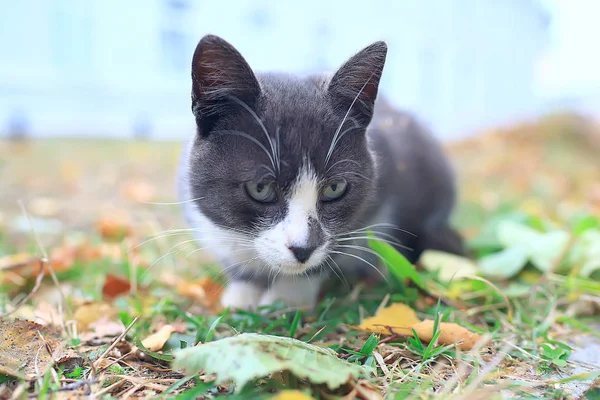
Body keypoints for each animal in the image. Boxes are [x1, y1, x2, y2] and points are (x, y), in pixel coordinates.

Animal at [178, 33, 464, 310]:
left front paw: (288, 296)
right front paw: (244, 289)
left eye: (335, 188)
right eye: (260, 188)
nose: (303, 249)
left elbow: (341, 240)